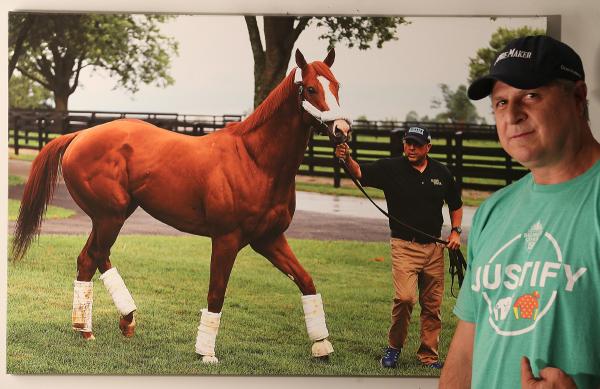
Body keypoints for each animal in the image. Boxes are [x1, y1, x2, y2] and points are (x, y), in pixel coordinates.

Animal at [11, 49, 352, 364]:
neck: (255, 161)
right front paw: (207, 354)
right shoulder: (227, 239)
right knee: (90, 258)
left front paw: (322, 347)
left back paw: (116, 321)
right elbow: (216, 292)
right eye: (311, 88)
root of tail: (81, 133)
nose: (342, 130)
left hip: (112, 215)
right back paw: (91, 328)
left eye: (336, 86)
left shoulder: (269, 239)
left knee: (94, 257)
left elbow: (306, 281)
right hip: (110, 216)